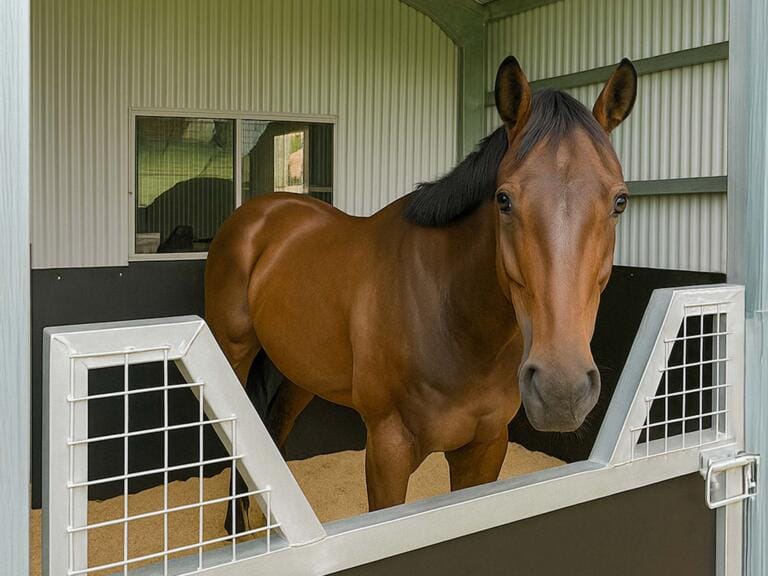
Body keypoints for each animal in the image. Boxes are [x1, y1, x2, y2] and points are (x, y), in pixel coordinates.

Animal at [205, 56, 637, 532]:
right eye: (504, 199)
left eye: (619, 201)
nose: (563, 391)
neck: (450, 317)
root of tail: (257, 212)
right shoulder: (388, 450)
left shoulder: (485, 448)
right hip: (233, 353)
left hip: (301, 369)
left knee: (275, 425)